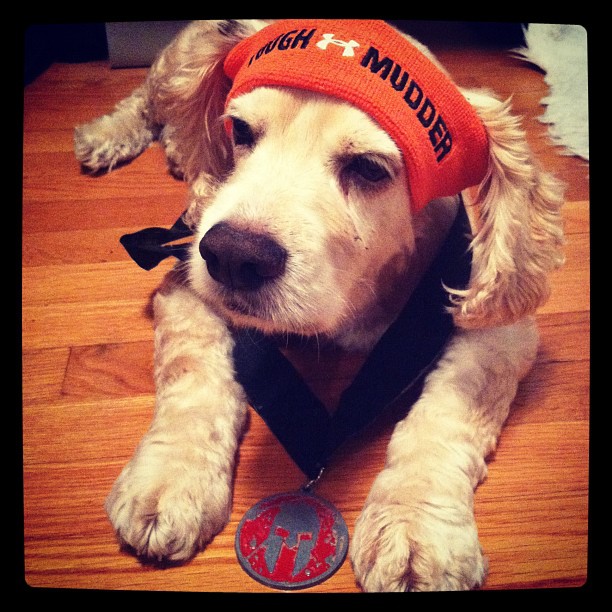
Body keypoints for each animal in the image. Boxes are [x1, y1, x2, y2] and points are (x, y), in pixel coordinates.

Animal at [74, 20, 564, 591]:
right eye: (240, 132)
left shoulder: (499, 329)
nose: (232, 257)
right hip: (174, 66)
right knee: (145, 99)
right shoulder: (186, 279)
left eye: (370, 169)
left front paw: (415, 526)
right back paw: (109, 137)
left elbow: (450, 408)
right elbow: (192, 374)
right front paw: (171, 479)